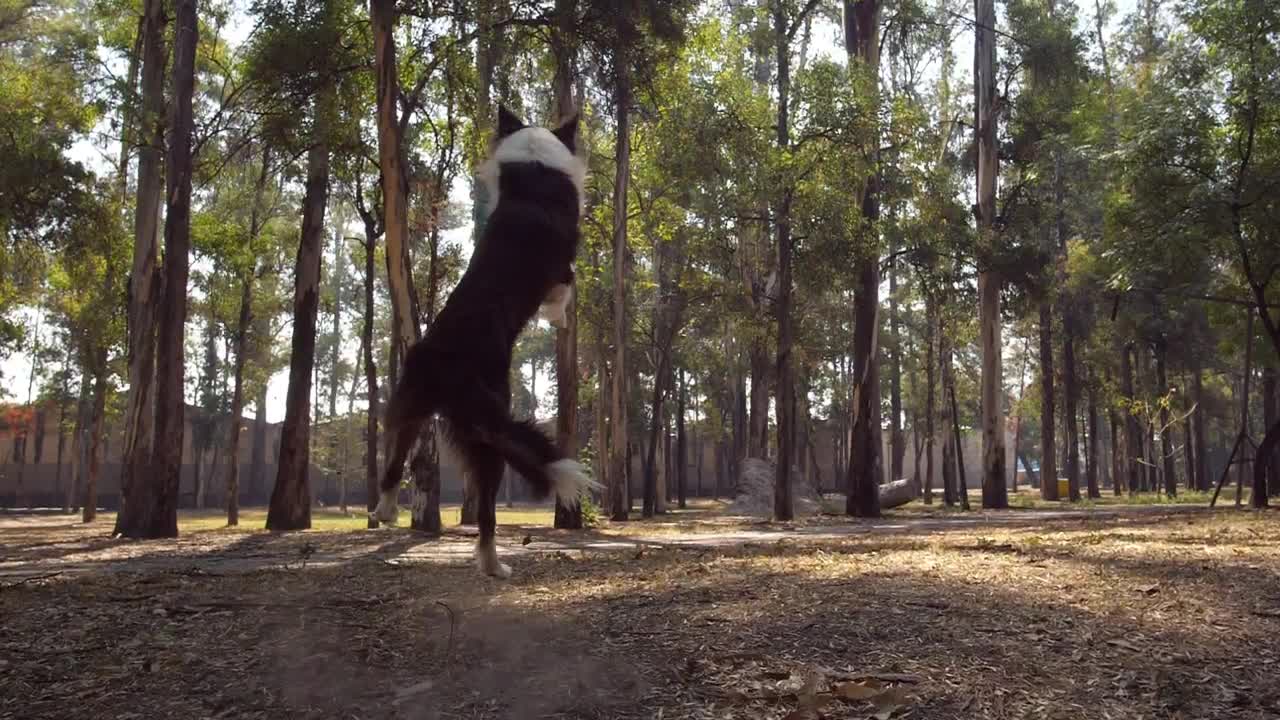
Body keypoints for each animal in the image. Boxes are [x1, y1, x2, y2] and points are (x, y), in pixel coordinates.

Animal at [368, 107, 591, 576]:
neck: (534, 170)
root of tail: (453, 367)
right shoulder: (564, 271)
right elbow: (562, 297)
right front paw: (559, 319)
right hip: (489, 433)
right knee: (486, 512)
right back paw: (493, 564)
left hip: (410, 403)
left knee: (396, 461)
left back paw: (385, 509)